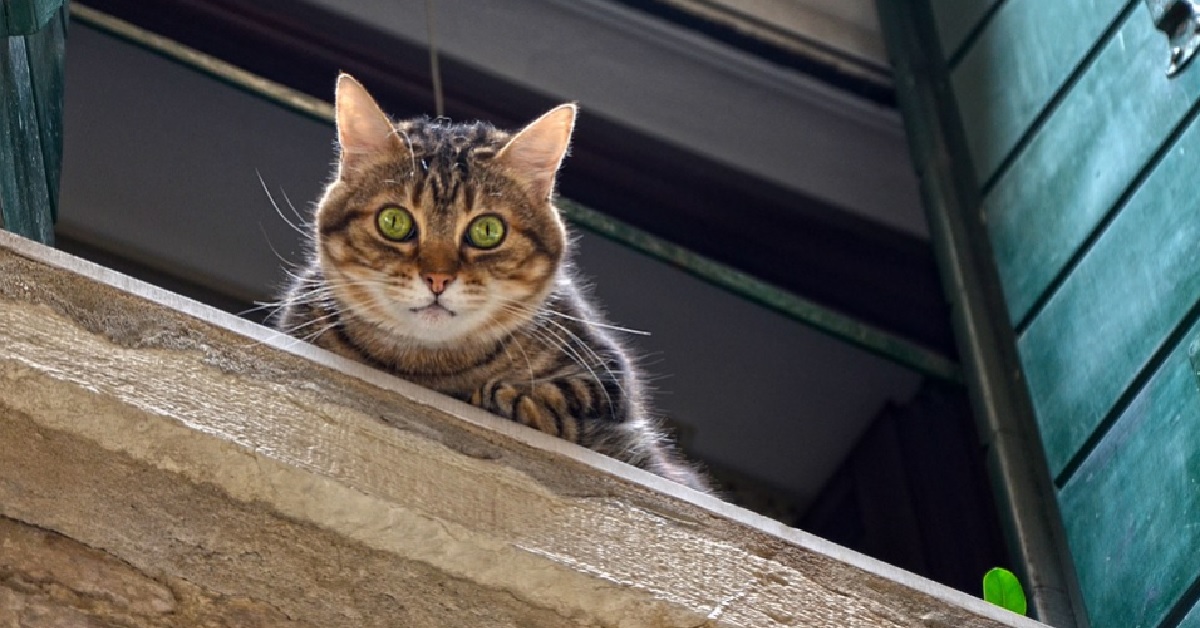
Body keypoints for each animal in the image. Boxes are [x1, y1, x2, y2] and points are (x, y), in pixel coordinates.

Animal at [276, 76, 705, 494]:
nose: (437, 278)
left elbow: (569, 395)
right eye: (394, 222)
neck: (429, 371)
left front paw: (515, 401)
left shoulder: (607, 371)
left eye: (487, 230)